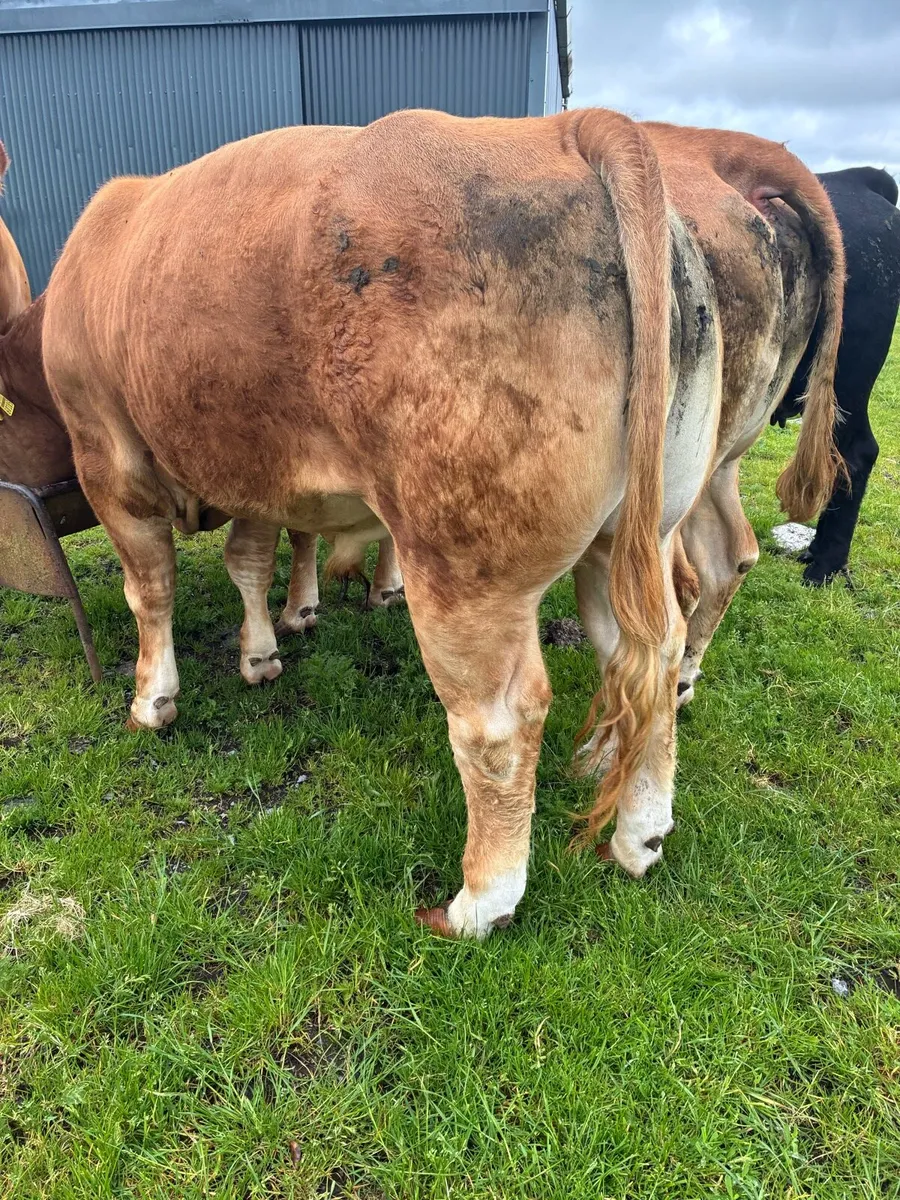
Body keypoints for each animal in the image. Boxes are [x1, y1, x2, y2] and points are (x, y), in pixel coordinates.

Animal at [41, 109, 843, 937]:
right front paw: (263, 650)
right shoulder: (257, 471)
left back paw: (480, 901)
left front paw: (153, 698)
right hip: (633, 533)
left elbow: (151, 590)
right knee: (656, 644)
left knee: (500, 723)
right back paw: (637, 829)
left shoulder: (107, 459)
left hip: (462, 566)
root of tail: (569, 127)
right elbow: (250, 560)